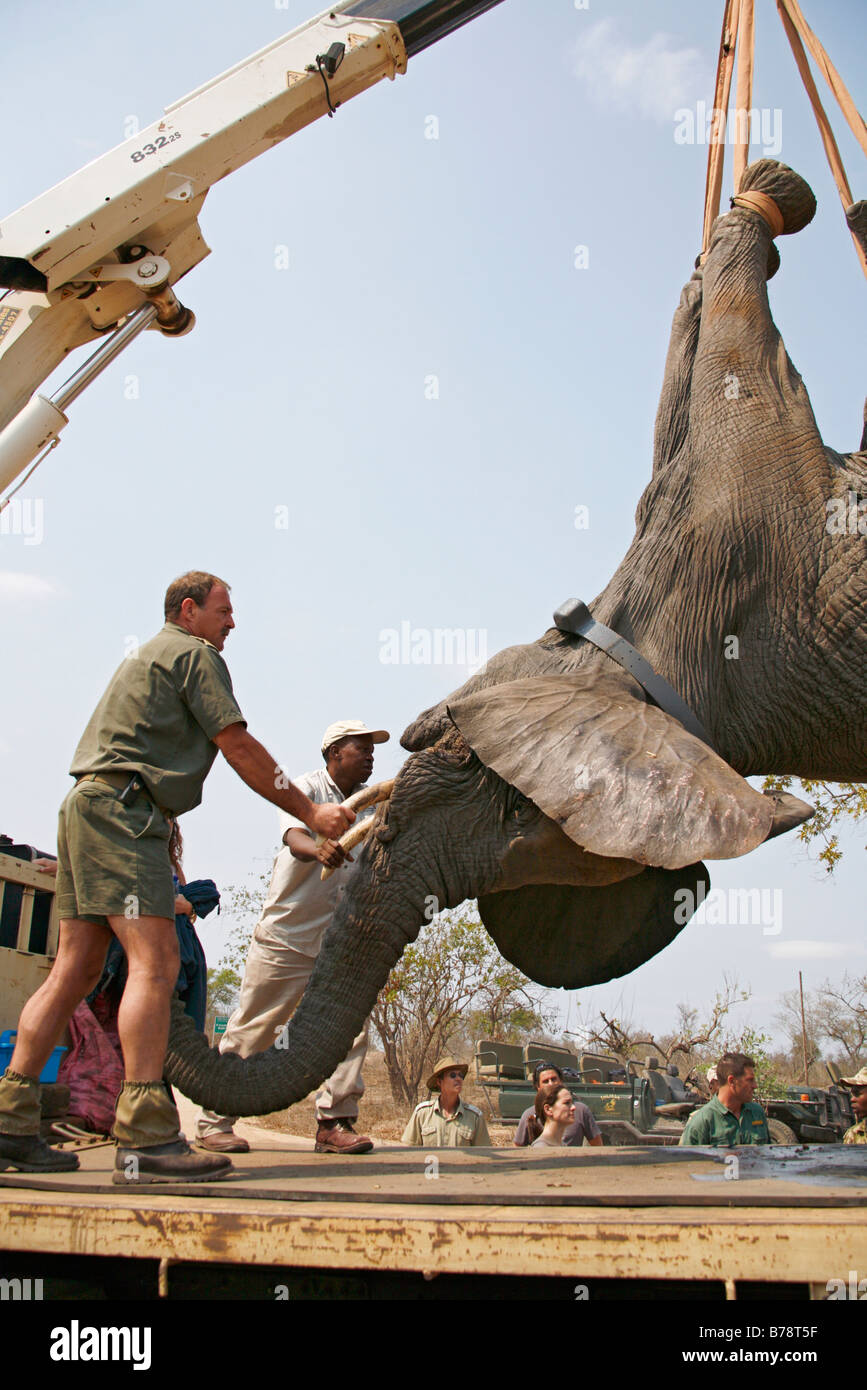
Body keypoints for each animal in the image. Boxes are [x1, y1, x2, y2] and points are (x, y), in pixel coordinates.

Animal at [167, 162, 867, 1112]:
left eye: (479, 787)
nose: (177, 909)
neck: (618, 652)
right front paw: (747, 215)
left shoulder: (753, 504)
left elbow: (727, 349)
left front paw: (771, 195)